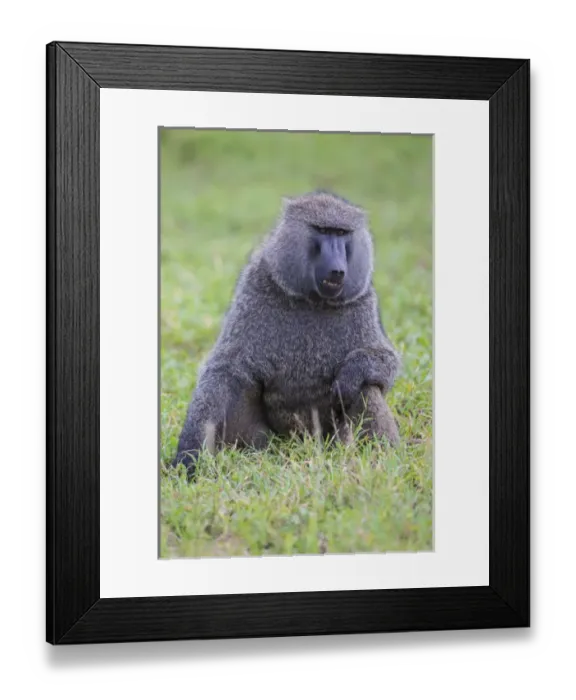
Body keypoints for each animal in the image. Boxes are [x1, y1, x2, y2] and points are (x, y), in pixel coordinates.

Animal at [174, 191, 402, 476]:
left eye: (341, 233)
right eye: (322, 230)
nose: (338, 269)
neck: (313, 300)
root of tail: (303, 441)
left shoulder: (363, 300)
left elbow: (384, 364)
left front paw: (352, 372)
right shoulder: (254, 286)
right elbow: (226, 367)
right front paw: (189, 455)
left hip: (333, 438)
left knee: (366, 387)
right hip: (264, 439)